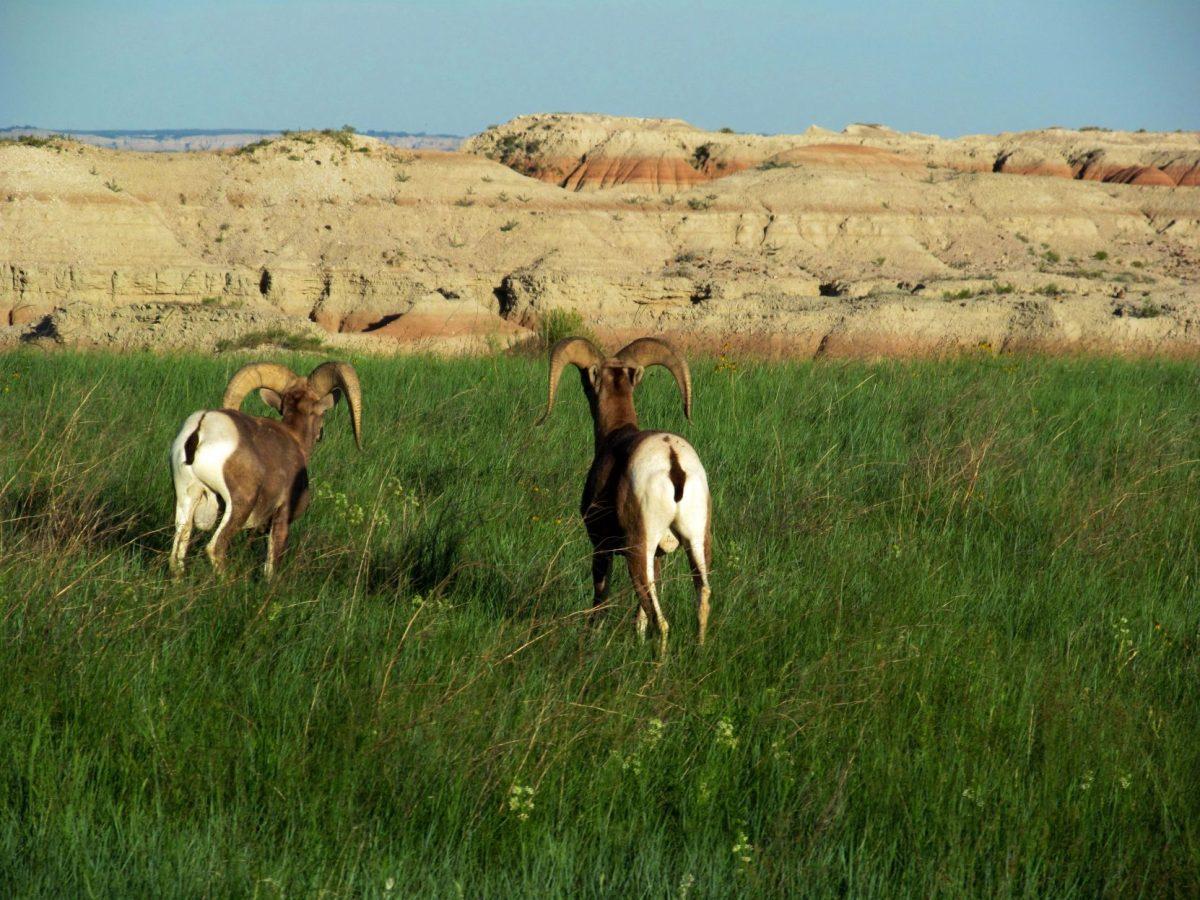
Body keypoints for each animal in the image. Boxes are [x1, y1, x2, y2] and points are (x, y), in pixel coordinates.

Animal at [168, 360, 362, 578]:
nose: (321, 433)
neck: (295, 439)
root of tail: (202, 426)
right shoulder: (282, 516)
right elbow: (271, 563)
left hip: (186, 498)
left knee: (177, 553)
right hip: (239, 505)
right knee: (216, 548)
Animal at [540, 336, 712, 650]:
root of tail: (672, 461)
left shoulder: (601, 547)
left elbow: (601, 600)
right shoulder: (659, 556)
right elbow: (638, 616)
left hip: (638, 550)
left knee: (661, 621)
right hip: (697, 542)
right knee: (701, 599)